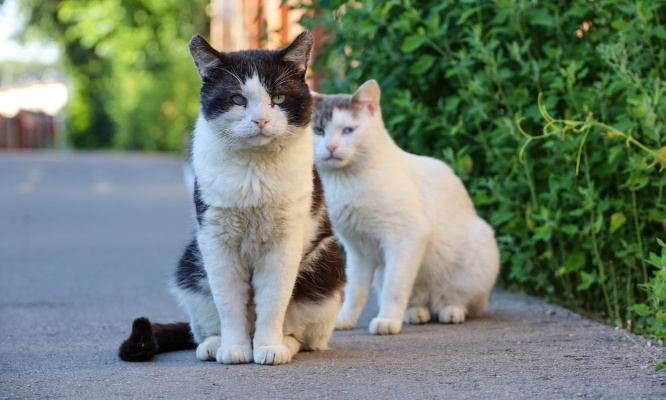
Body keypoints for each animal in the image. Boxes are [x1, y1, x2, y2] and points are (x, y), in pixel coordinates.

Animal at [119, 31, 344, 364]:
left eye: (279, 98)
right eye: (238, 99)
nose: (261, 120)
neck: (254, 172)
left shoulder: (284, 241)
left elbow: (274, 300)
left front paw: (267, 347)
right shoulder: (215, 238)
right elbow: (228, 302)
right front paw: (234, 348)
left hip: (326, 267)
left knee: (304, 336)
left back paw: (280, 345)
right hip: (190, 266)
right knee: (204, 326)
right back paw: (215, 346)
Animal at [312, 79, 498, 336]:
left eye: (348, 130)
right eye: (318, 131)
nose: (330, 147)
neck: (344, 181)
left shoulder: (406, 235)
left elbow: (395, 286)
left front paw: (387, 320)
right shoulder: (358, 249)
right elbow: (355, 290)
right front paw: (345, 319)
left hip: (479, 248)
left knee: (460, 299)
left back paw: (450, 310)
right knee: (420, 301)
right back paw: (415, 313)